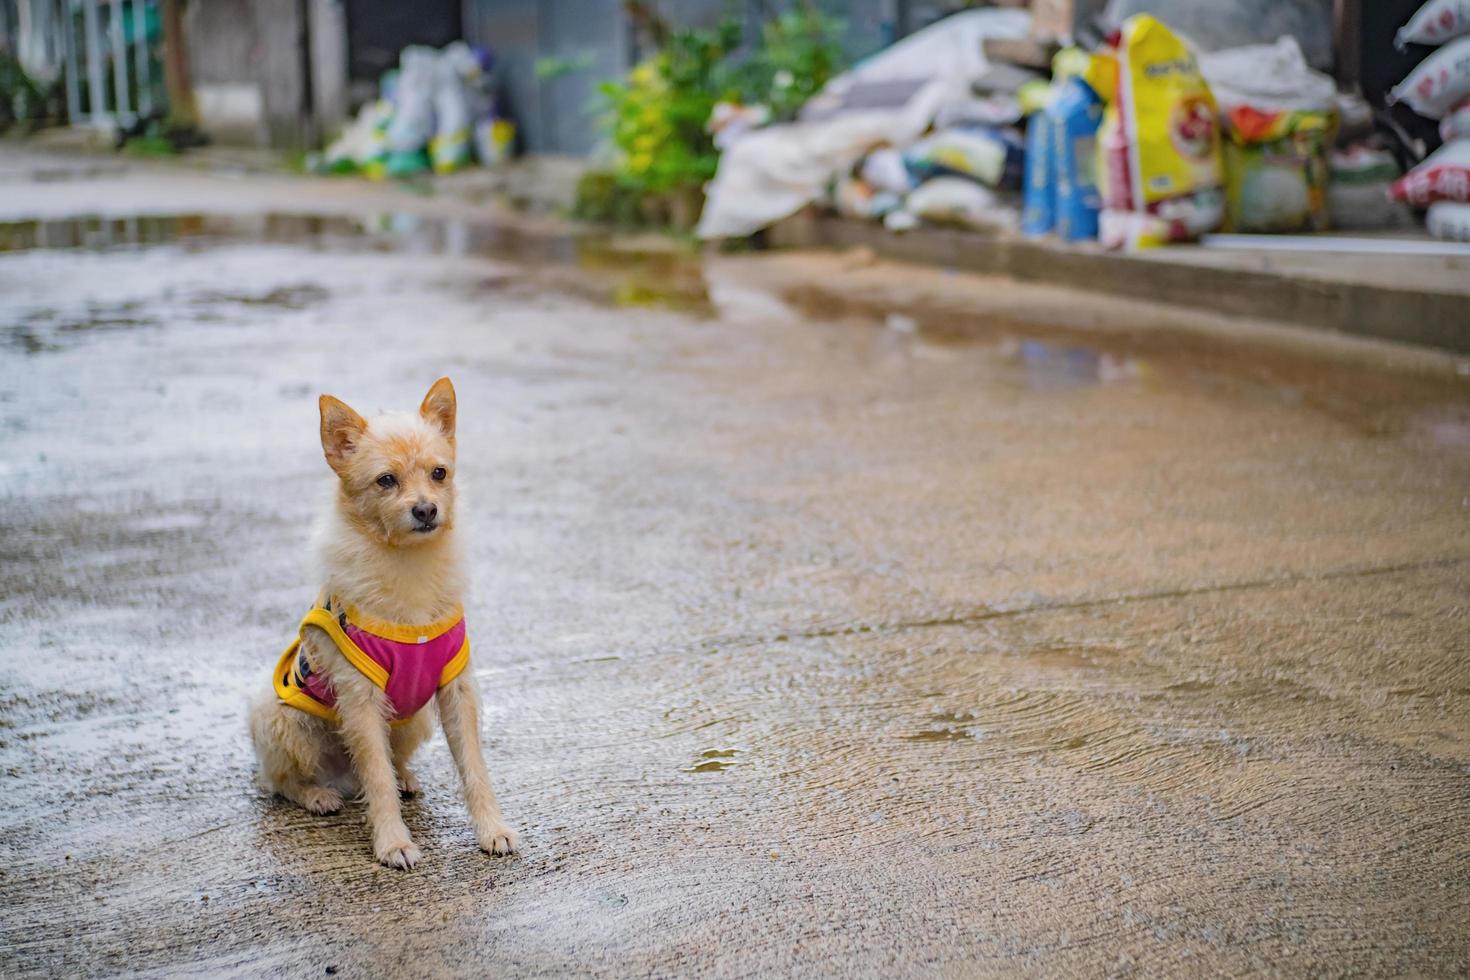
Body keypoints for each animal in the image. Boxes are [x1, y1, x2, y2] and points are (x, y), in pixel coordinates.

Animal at [246, 376, 511, 863]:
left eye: (439, 473)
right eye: (386, 480)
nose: (425, 510)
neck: (406, 563)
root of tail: (338, 774)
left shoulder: (456, 689)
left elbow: (473, 766)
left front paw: (492, 828)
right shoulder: (361, 701)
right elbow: (377, 780)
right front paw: (393, 842)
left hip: (414, 719)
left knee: (390, 763)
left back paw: (404, 776)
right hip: (281, 721)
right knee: (280, 781)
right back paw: (316, 794)